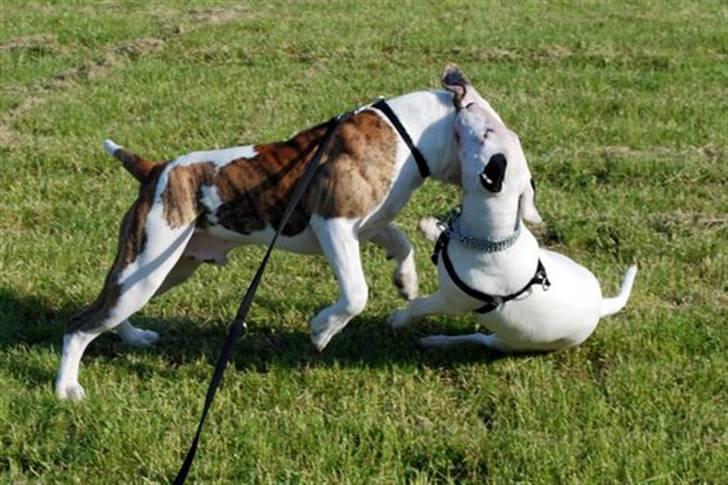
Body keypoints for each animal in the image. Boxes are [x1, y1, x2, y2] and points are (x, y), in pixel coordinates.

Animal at [55, 63, 500, 398]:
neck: (410, 134)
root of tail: (154, 169)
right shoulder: (334, 224)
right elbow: (355, 293)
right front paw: (322, 330)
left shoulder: (369, 225)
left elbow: (402, 242)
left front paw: (406, 281)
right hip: (147, 264)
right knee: (80, 323)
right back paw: (66, 388)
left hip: (165, 269)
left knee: (110, 307)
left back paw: (133, 338)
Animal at [386, 65, 636, 352]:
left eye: (486, 135)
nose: (469, 104)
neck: (489, 240)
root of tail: (601, 306)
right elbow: (443, 233)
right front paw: (431, 227)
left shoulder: (450, 301)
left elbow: (418, 305)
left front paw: (399, 318)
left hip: (507, 341)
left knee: (479, 339)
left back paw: (438, 341)